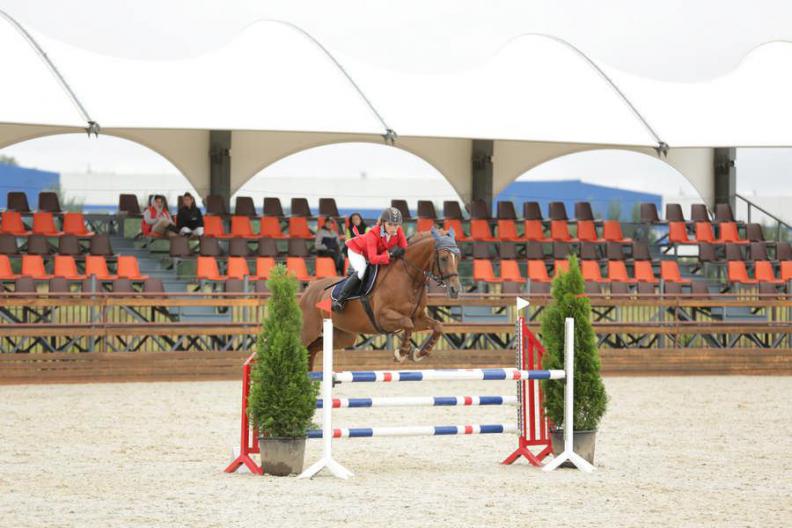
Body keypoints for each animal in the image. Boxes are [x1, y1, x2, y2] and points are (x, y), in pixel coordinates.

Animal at [300, 227, 462, 370]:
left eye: (458, 258)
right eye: (444, 258)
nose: (455, 290)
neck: (409, 278)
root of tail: (309, 290)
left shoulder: (418, 318)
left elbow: (437, 326)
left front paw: (420, 353)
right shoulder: (383, 317)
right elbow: (407, 324)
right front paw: (401, 353)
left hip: (343, 335)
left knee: (313, 348)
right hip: (309, 330)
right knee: (301, 344)